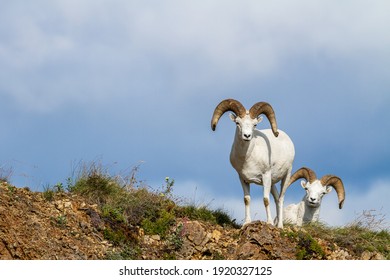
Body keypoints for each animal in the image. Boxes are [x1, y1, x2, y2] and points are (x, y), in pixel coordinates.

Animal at [212, 98, 294, 228]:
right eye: (237, 123)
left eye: (255, 125)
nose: (247, 136)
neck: (247, 158)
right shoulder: (243, 178)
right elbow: (247, 200)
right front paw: (246, 223)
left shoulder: (266, 176)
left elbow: (265, 200)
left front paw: (269, 223)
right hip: (272, 183)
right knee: (276, 198)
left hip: (286, 175)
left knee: (281, 199)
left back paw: (280, 226)